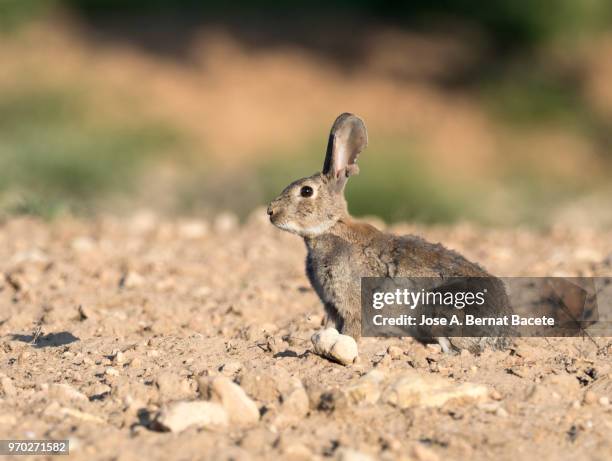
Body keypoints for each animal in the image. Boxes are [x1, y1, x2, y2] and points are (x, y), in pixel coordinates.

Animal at [268, 112, 512, 352]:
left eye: (306, 191)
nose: (270, 211)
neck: (331, 228)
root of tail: (503, 335)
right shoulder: (331, 305)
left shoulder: (352, 302)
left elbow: (352, 329)